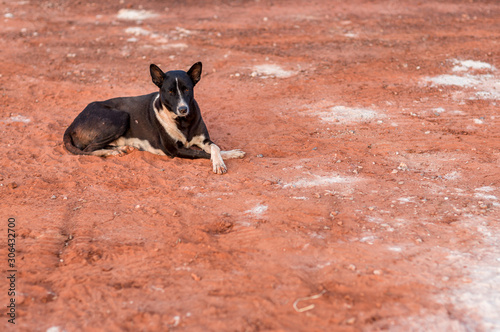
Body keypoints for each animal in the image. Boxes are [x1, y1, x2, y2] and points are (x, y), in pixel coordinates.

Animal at [62, 62, 246, 174]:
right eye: (170, 91)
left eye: (187, 89)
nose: (183, 109)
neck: (182, 122)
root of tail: (72, 124)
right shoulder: (175, 150)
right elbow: (201, 154)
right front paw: (221, 161)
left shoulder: (204, 140)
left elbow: (215, 148)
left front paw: (228, 155)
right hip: (120, 116)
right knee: (88, 149)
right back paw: (114, 152)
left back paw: (121, 148)